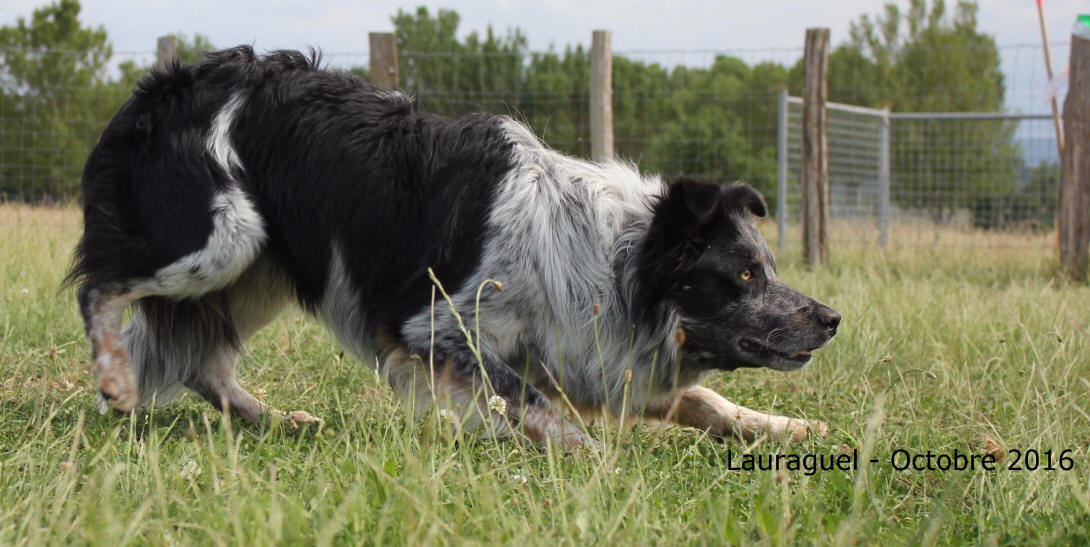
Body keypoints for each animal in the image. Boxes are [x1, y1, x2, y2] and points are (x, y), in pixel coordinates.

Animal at [68, 47, 837, 448]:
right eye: (744, 275)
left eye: (769, 269)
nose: (832, 318)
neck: (610, 260)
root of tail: (165, 84)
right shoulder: (434, 326)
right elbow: (534, 403)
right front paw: (588, 459)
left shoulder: (588, 355)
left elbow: (704, 399)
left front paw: (788, 426)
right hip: (218, 241)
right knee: (101, 286)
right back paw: (115, 379)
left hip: (262, 269)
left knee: (202, 363)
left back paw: (277, 420)